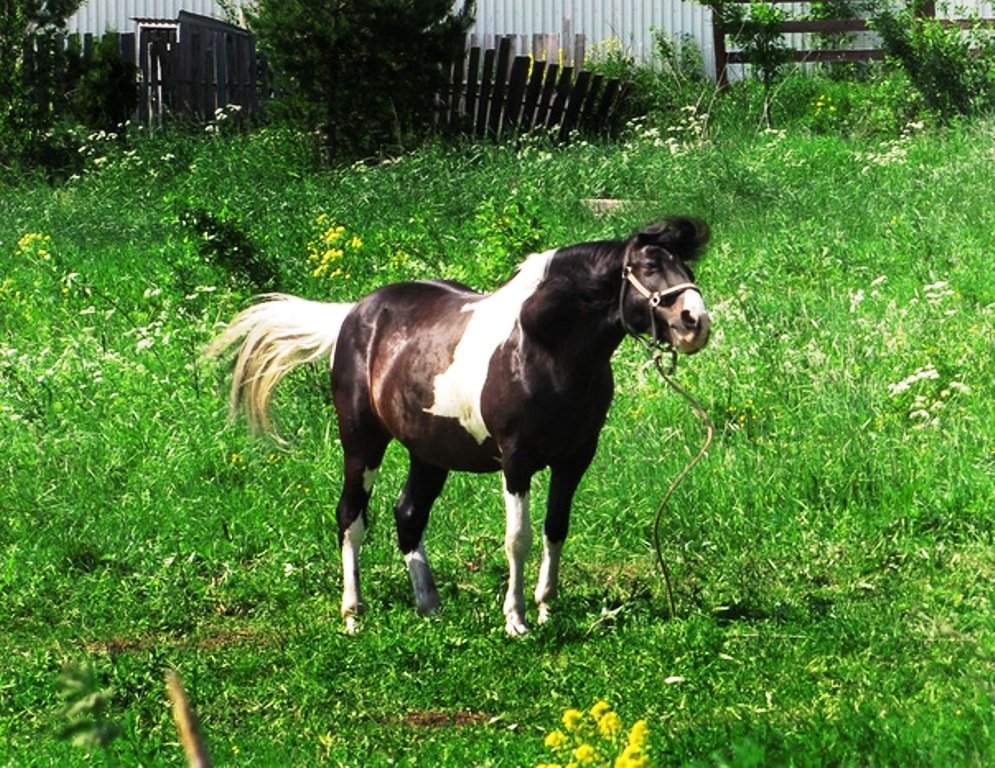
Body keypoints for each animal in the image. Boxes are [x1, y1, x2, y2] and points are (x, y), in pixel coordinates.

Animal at [206, 216, 712, 636]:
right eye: (650, 265)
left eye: (684, 264)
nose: (696, 322)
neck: (543, 346)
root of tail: (353, 314)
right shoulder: (517, 461)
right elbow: (518, 539)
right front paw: (516, 620)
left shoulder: (576, 458)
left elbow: (556, 527)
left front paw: (546, 607)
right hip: (362, 443)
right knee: (351, 516)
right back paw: (353, 614)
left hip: (429, 453)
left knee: (408, 513)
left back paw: (429, 605)